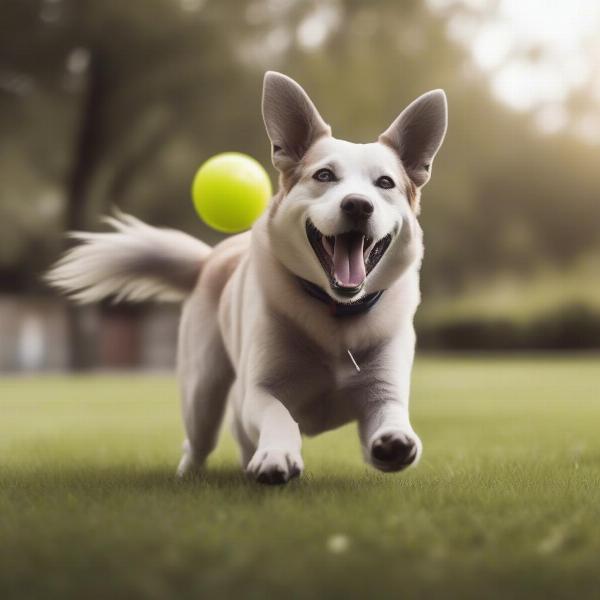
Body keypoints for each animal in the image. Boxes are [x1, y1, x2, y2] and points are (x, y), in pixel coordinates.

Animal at [49, 71, 448, 482]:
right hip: (202, 393)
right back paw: (190, 475)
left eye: (385, 183)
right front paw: (276, 455)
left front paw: (396, 441)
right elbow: (279, 416)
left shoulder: (383, 389)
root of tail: (210, 258)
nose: (357, 204)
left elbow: (390, 415)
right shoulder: (257, 390)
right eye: (324, 175)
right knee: (199, 442)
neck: (336, 317)